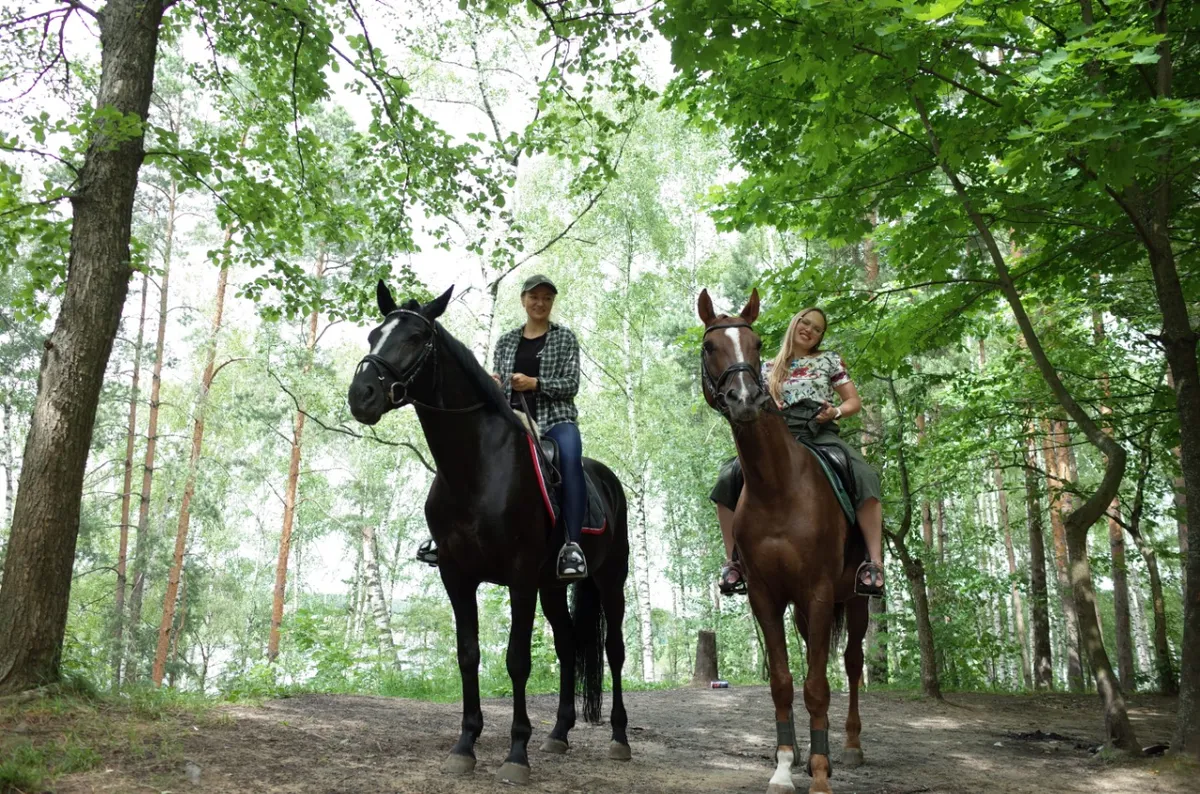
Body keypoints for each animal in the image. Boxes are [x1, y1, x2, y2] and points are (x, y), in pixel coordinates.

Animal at [346, 281, 632, 785]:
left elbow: (517, 659)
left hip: (609, 578)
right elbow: (468, 654)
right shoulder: (457, 575)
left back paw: (619, 737)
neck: (475, 467)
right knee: (567, 645)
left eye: (417, 337)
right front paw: (465, 745)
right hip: (552, 586)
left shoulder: (519, 577)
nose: (362, 394)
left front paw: (517, 753)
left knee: (613, 650)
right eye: (374, 334)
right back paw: (559, 733)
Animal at [697, 288, 870, 794]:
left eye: (756, 344)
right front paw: (784, 767)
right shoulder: (765, 595)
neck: (778, 486)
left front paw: (820, 774)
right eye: (710, 346)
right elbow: (783, 682)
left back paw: (851, 746)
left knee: (853, 662)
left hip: (856, 600)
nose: (746, 399)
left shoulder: (819, 592)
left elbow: (817, 686)